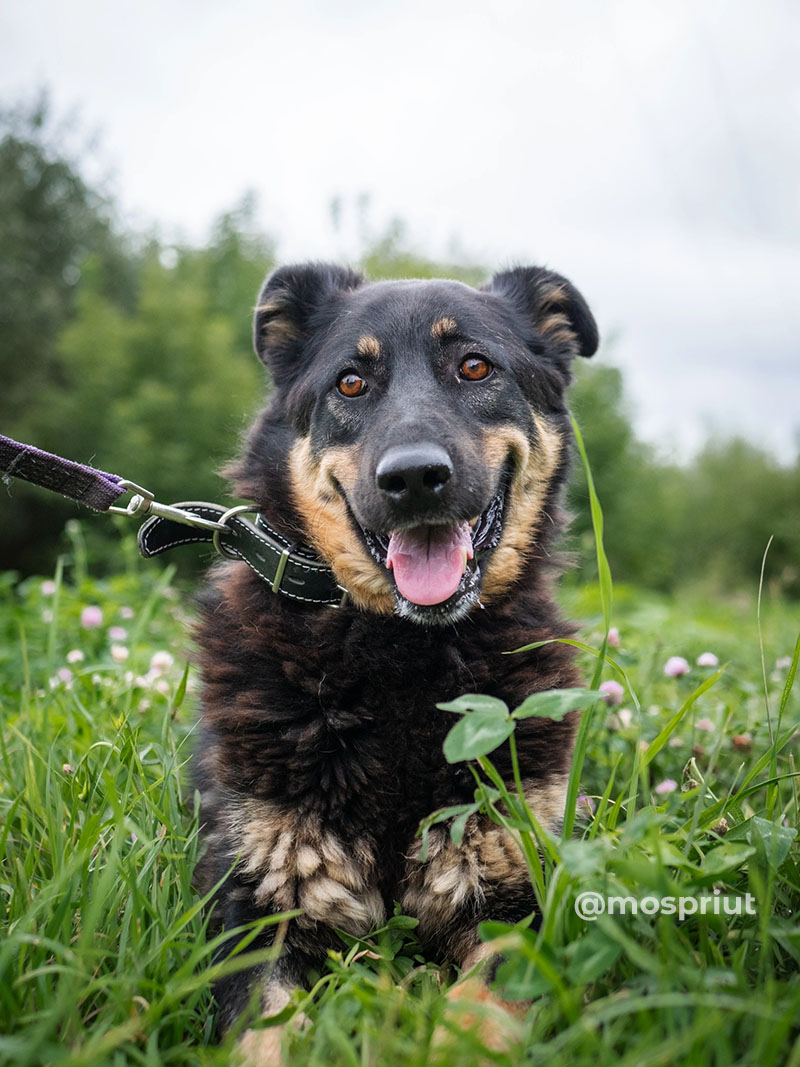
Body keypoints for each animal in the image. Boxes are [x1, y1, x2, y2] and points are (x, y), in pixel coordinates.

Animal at [193, 262, 597, 1062]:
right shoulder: (253, 910)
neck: (401, 654)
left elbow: (481, 1015)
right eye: (351, 383)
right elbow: (268, 1034)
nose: (413, 478)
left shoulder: (517, 897)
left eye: (475, 367)